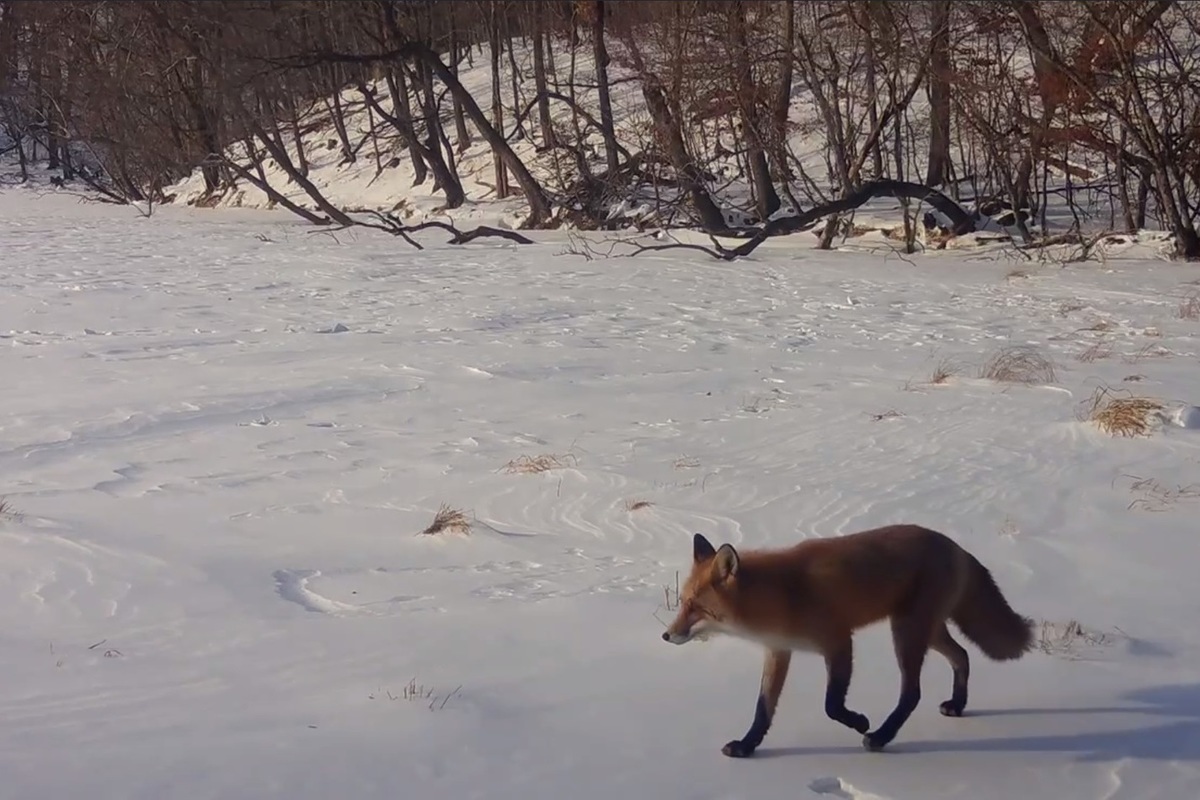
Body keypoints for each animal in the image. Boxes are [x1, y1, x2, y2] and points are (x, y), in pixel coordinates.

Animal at [662, 525, 1036, 758]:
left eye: (695, 607)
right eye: (681, 603)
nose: (666, 635)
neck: (781, 597)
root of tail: (956, 547)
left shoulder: (839, 640)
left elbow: (831, 704)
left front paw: (859, 722)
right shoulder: (779, 650)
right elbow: (763, 709)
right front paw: (747, 746)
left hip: (906, 632)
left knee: (913, 692)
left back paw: (881, 736)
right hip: (928, 631)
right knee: (962, 656)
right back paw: (957, 704)